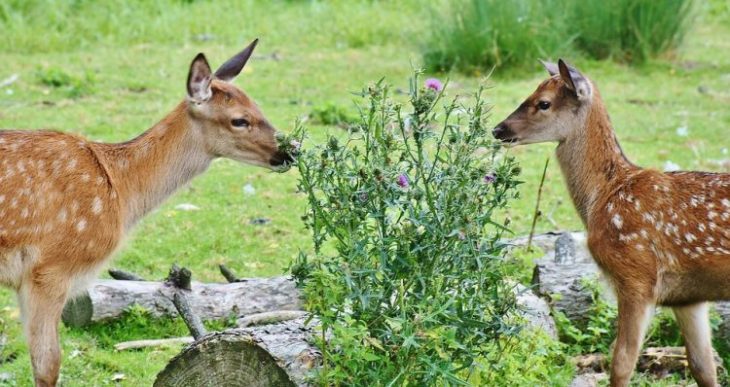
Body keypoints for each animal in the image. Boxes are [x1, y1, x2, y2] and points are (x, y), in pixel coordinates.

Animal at [2, 38, 292, 386]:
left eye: (259, 107)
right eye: (239, 119)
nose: (289, 151)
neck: (121, 189)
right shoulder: (50, 267)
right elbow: (48, 364)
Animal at [492, 59, 724, 386]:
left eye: (543, 103)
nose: (498, 129)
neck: (603, 196)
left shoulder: (636, 274)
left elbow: (622, 363)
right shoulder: (688, 296)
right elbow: (703, 366)